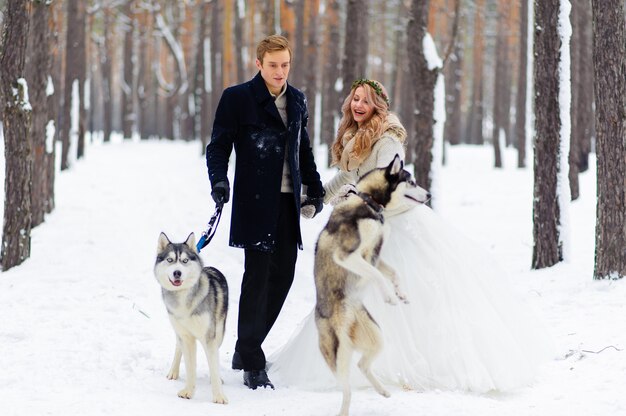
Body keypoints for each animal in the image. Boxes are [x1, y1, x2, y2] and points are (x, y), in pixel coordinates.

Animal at [154, 232, 229, 404]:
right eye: (170, 260)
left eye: (185, 261)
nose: (177, 273)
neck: (183, 299)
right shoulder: (185, 336)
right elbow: (189, 366)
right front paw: (188, 391)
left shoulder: (209, 336)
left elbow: (213, 365)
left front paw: (219, 396)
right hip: (179, 331)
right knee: (178, 347)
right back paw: (173, 371)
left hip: (219, 332)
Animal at [312, 156, 428, 416]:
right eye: (411, 182)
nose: (428, 195)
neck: (369, 201)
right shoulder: (347, 256)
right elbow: (377, 275)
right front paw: (389, 296)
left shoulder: (375, 253)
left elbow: (391, 272)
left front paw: (400, 293)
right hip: (339, 355)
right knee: (346, 389)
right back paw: (344, 410)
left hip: (376, 337)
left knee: (362, 364)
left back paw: (383, 390)